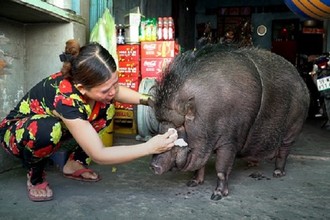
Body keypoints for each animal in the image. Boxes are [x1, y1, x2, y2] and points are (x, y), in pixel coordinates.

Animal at [151, 43, 310, 200]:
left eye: (177, 129)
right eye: (160, 127)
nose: (153, 166)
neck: (205, 114)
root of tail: (302, 83)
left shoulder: (229, 140)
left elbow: (221, 168)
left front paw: (216, 195)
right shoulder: (204, 145)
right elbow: (200, 166)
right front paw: (192, 183)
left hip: (293, 127)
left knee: (284, 150)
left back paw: (277, 173)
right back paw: (252, 164)